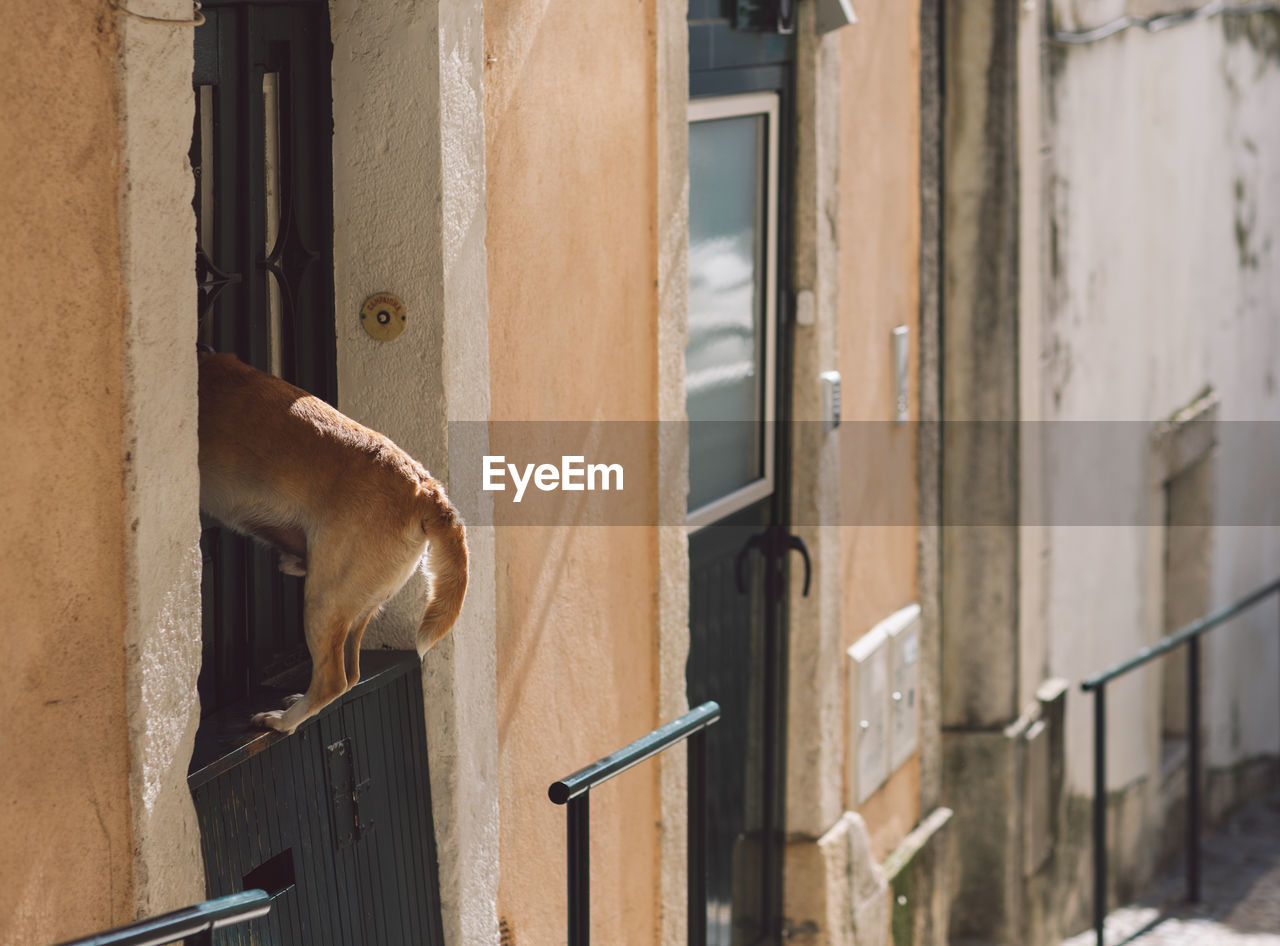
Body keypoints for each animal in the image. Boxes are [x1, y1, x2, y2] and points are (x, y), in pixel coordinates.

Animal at [194, 353, 465, 732]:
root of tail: (424, 488)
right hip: (357, 601)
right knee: (351, 673)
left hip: (323, 597)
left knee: (333, 679)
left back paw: (282, 721)